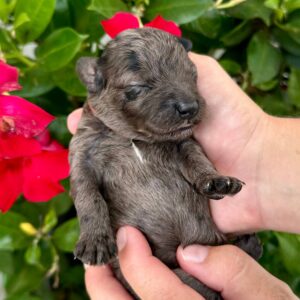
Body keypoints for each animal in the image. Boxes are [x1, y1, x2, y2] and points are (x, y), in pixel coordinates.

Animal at [69, 28, 262, 300]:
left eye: (193, 76)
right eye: (138, 87)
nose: (190, 107)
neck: (134, 137)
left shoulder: (184, 144)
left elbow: (198, 160)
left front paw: (216, 181)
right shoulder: (82, 156)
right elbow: (88, 197)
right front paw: (95, 240)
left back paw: (247, 245)